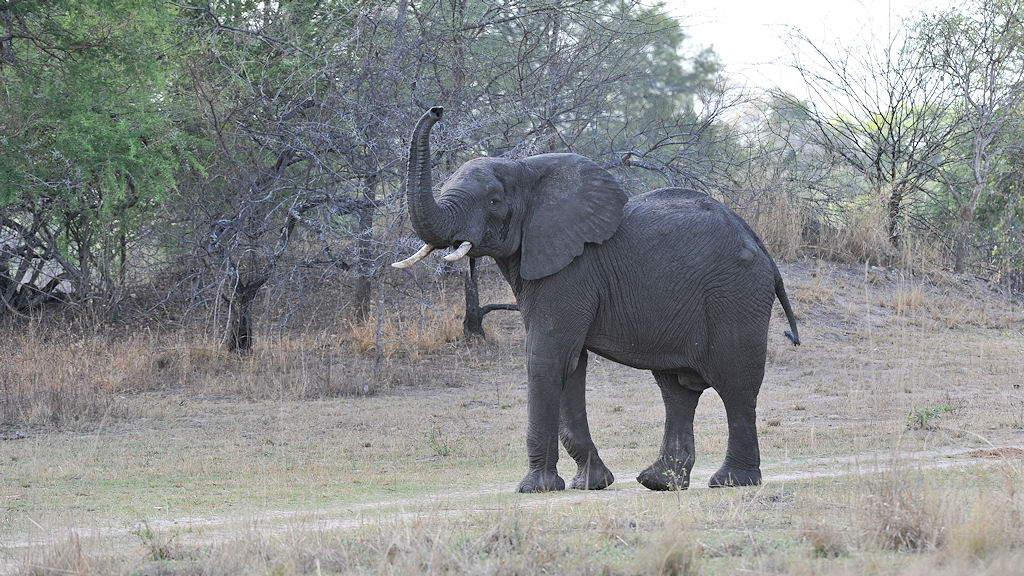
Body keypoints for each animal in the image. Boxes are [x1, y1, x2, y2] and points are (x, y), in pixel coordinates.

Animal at [393, 107, 800, 493]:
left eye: (494, 201)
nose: (437, 111)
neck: (527, 170)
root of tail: (761, 247)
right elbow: (571, 364)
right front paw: (591, 483)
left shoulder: (572, 270)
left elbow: (546, 358)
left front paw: (535, 488)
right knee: (677, 389)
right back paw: (660, 482)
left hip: (736, 295)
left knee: (736, 385)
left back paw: (731, 481)